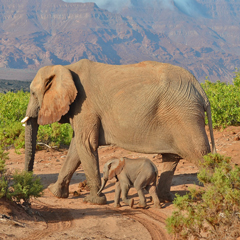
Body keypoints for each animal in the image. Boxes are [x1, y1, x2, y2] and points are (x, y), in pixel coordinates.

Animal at [21, 60, 216, 204]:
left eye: (32, 93)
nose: (28, 188)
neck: (66, 68)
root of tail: (201, 90)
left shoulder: (85, 106)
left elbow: (85, 144)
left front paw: (94, 201)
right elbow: (77, 147)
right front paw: (55, 193)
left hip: (186, 117)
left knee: (201, 157)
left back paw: (216, 196)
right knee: (171, 158)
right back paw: (164, 199)